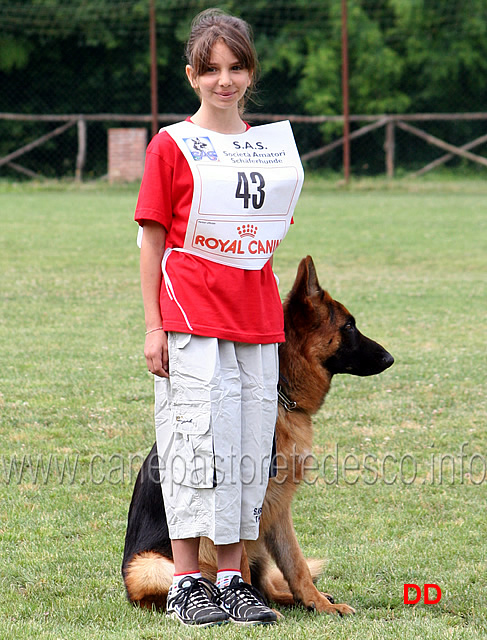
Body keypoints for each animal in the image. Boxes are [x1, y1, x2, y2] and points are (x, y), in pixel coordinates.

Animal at [124, 255, 394, 616]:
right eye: (348, 326)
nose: (390, 358)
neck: (281, 394)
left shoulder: (278, 506)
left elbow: (296, 563)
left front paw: (319, 603)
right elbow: (239, 562)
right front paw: (249, 605)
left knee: (271, 579)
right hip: (151, 566)